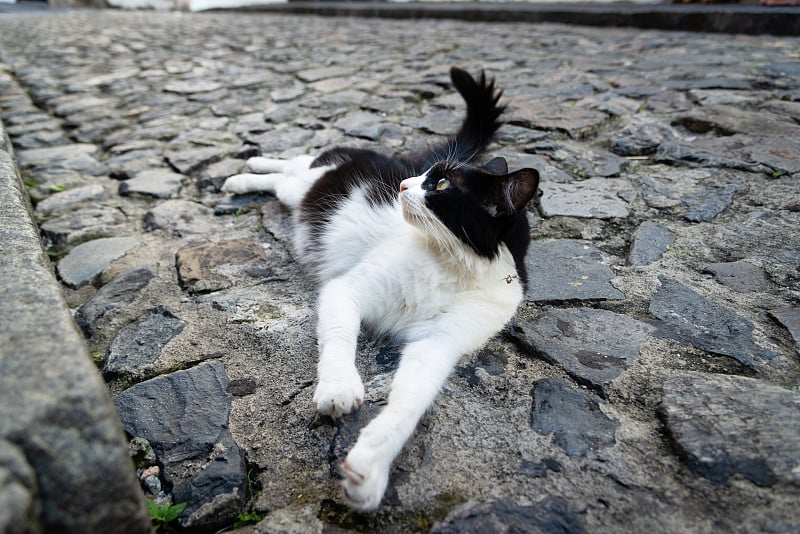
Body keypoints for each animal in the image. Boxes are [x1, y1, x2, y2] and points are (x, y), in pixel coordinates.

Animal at [222, 69, 540, 512]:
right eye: (428, 177)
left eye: (441, 183)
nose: (404, 185)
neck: (454, 265)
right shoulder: (345, 290)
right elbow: (341, 339)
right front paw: (339, 388)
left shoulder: (439, 344)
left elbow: (409, 402)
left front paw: (369, 469)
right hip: (305, 182)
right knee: (292, 166)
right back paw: (243, 172)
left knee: (289, 173)